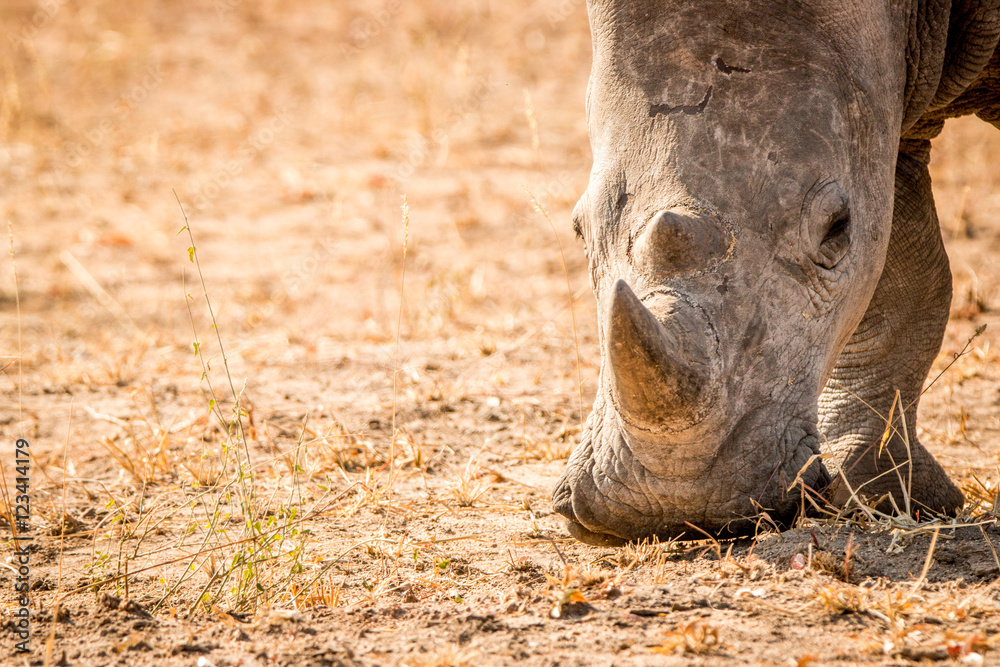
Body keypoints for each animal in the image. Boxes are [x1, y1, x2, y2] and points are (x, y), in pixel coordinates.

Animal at [552, 0, 1000, 545]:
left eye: (835, 229)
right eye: (579, 230)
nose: (669, 508)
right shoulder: (892, 119)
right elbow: (902, 285)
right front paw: (886, 498)